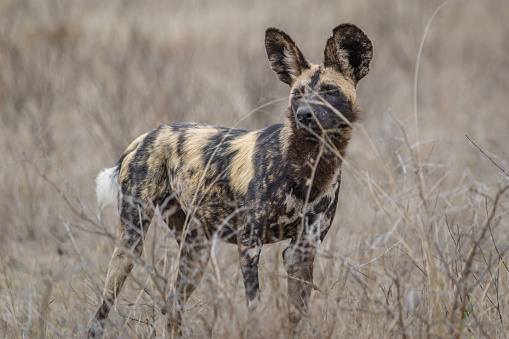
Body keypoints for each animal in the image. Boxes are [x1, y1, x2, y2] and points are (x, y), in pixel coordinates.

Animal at [89, 23, 372, 338]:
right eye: (298, 94)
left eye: (330, 91)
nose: (304, 115)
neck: (308, 168)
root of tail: (145, 137)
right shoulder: (249, 245)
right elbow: (254, 306)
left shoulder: (302, 250)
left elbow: (296, 316)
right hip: (130, 242)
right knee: (101, 311)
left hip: (195, 251)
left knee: (172, 308)